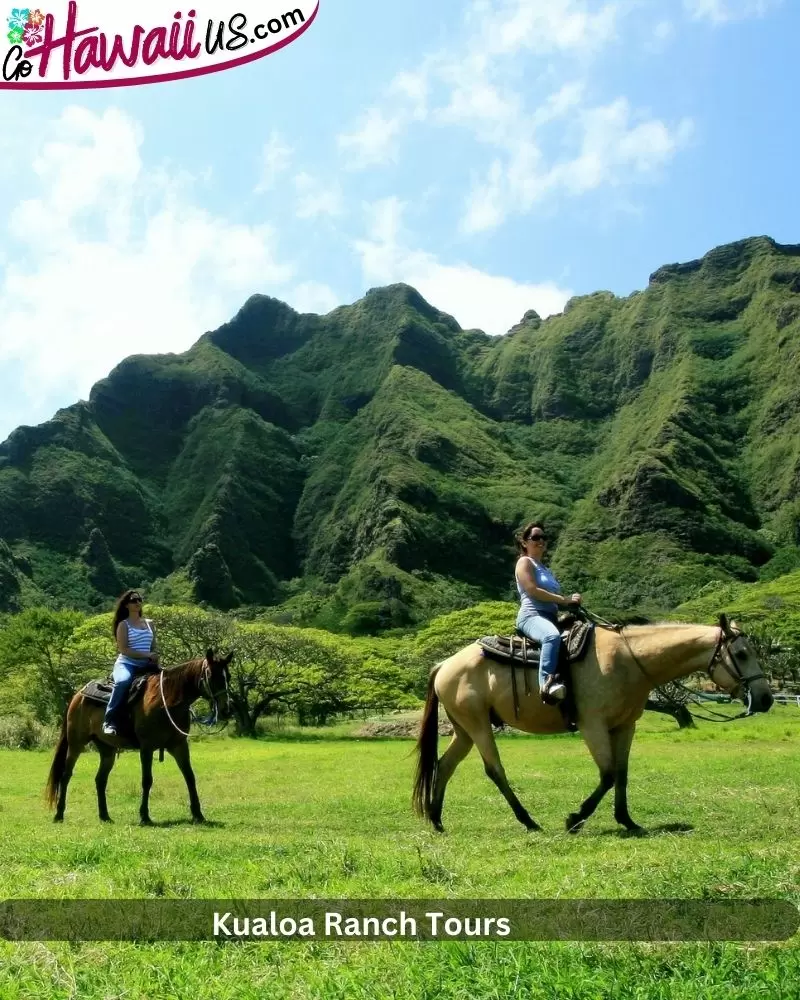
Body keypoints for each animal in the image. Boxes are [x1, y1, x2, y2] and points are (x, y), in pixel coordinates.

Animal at [46, 652, 233, 824]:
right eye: (211, 676)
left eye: (228, 677)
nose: (226, 710)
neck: (167, 700)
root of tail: (77, 695)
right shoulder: (147, 748)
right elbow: (147, 780)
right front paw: (144, 816)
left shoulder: (179, 745)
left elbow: (190, 777)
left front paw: (198, 814)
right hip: (76, 744)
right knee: (66, 775)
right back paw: (59, 815)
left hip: (107, 749)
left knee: (100, 779)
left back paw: (105, 816)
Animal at [410, 616, 772, 836]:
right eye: (741, 654)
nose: (766, 698)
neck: (629, 660)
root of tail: (445, 663)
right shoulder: (592, 725)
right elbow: (608, 774)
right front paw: (575, 819)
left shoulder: (625, 727)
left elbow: (622, 774)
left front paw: (628, 821)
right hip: (478, 726)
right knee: (494, 770)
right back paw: (528, 821)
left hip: (465, 729)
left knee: (444, 765)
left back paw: (437, 820)